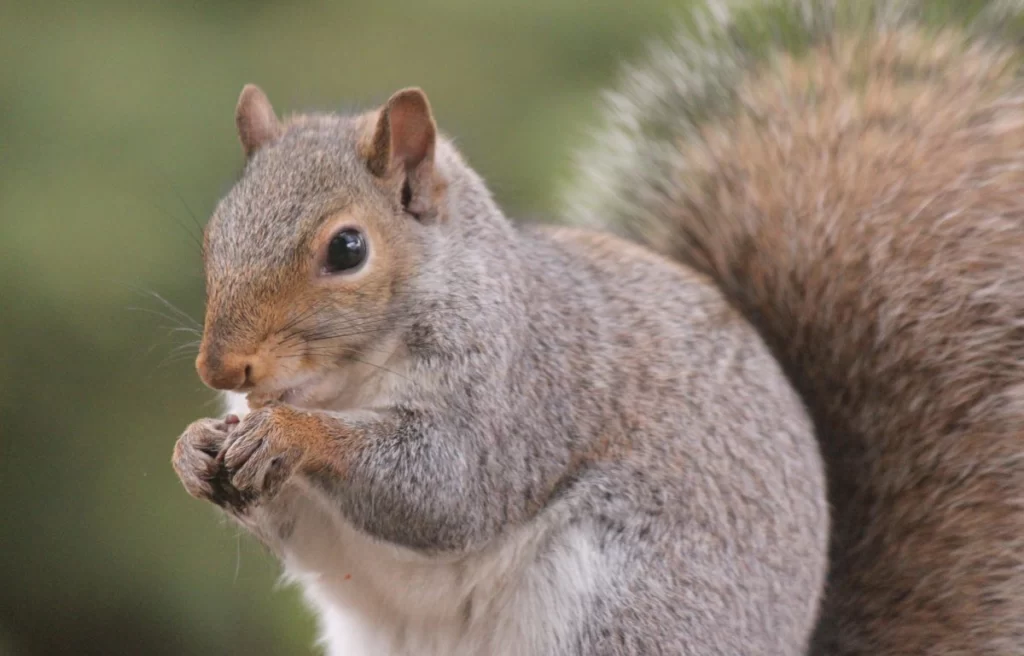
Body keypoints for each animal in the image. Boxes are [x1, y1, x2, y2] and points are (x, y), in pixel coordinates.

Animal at [172, 0, 1024, 650]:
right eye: (215, 230)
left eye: (347, 248)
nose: (220, 369)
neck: (342, 381)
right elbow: (307, 532)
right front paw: (194, 449)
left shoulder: (518, 394)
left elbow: (448, 488)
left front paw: (295, 435)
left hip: (630, 607)